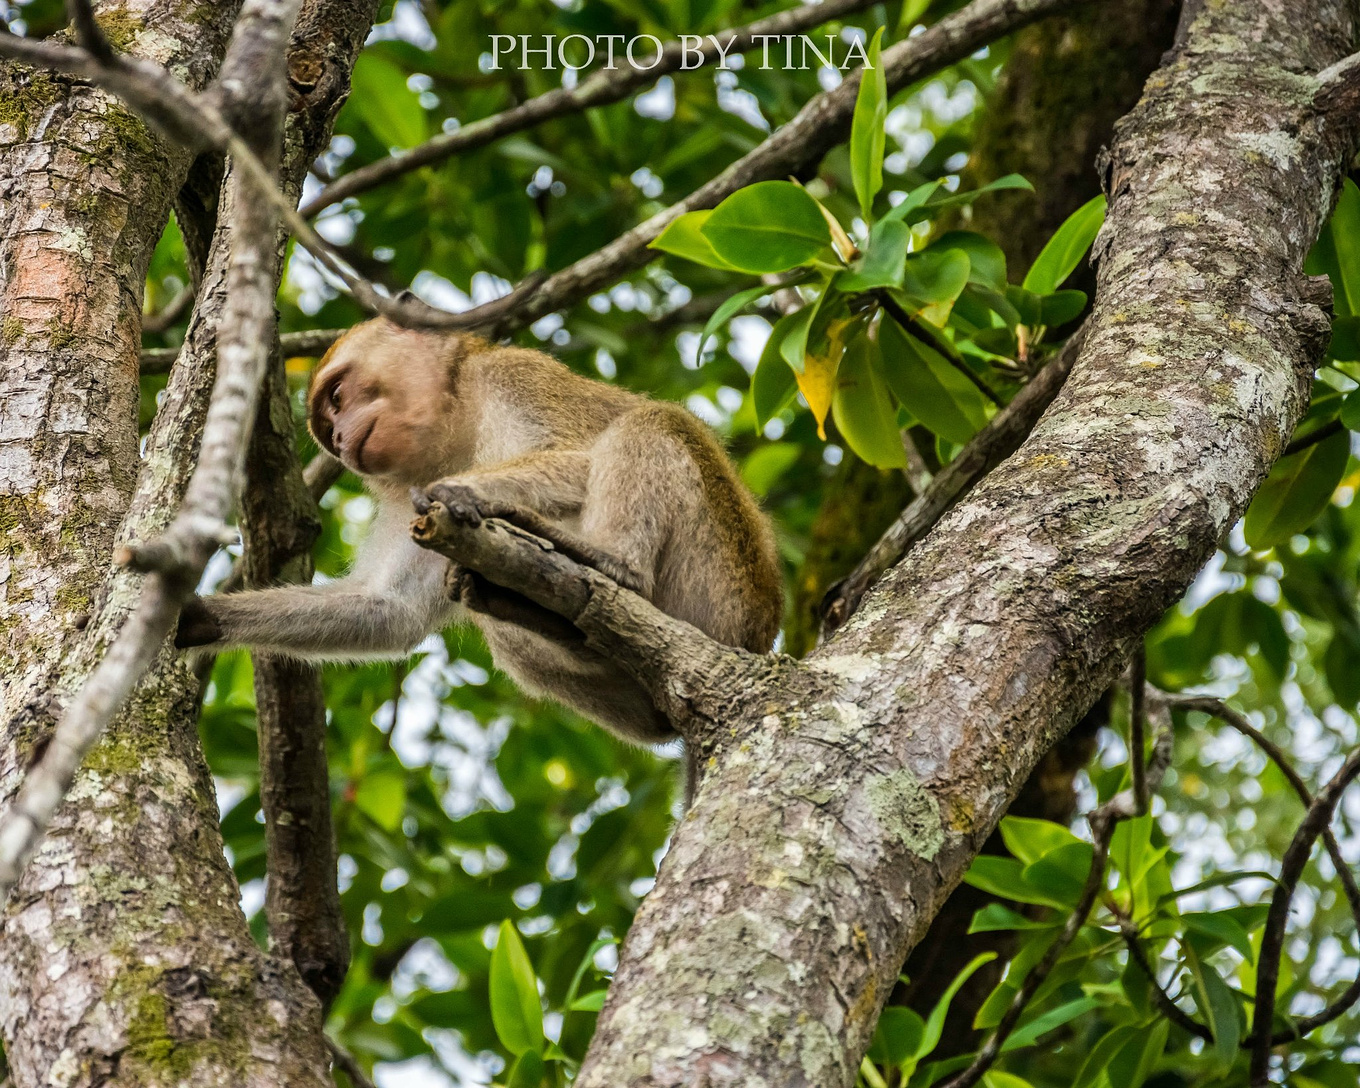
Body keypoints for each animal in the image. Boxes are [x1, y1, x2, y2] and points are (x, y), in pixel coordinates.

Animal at [175, 318, 783, 750]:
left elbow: (579, 457)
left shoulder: (515, 376)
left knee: (655, 423)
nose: (342, 441)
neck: (457, 424)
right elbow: (387, 609)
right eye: (329, 426)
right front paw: (202, 617)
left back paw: (611, 565)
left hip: (721, 585)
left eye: (339, 397)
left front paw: (467, 490)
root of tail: (757, 638)